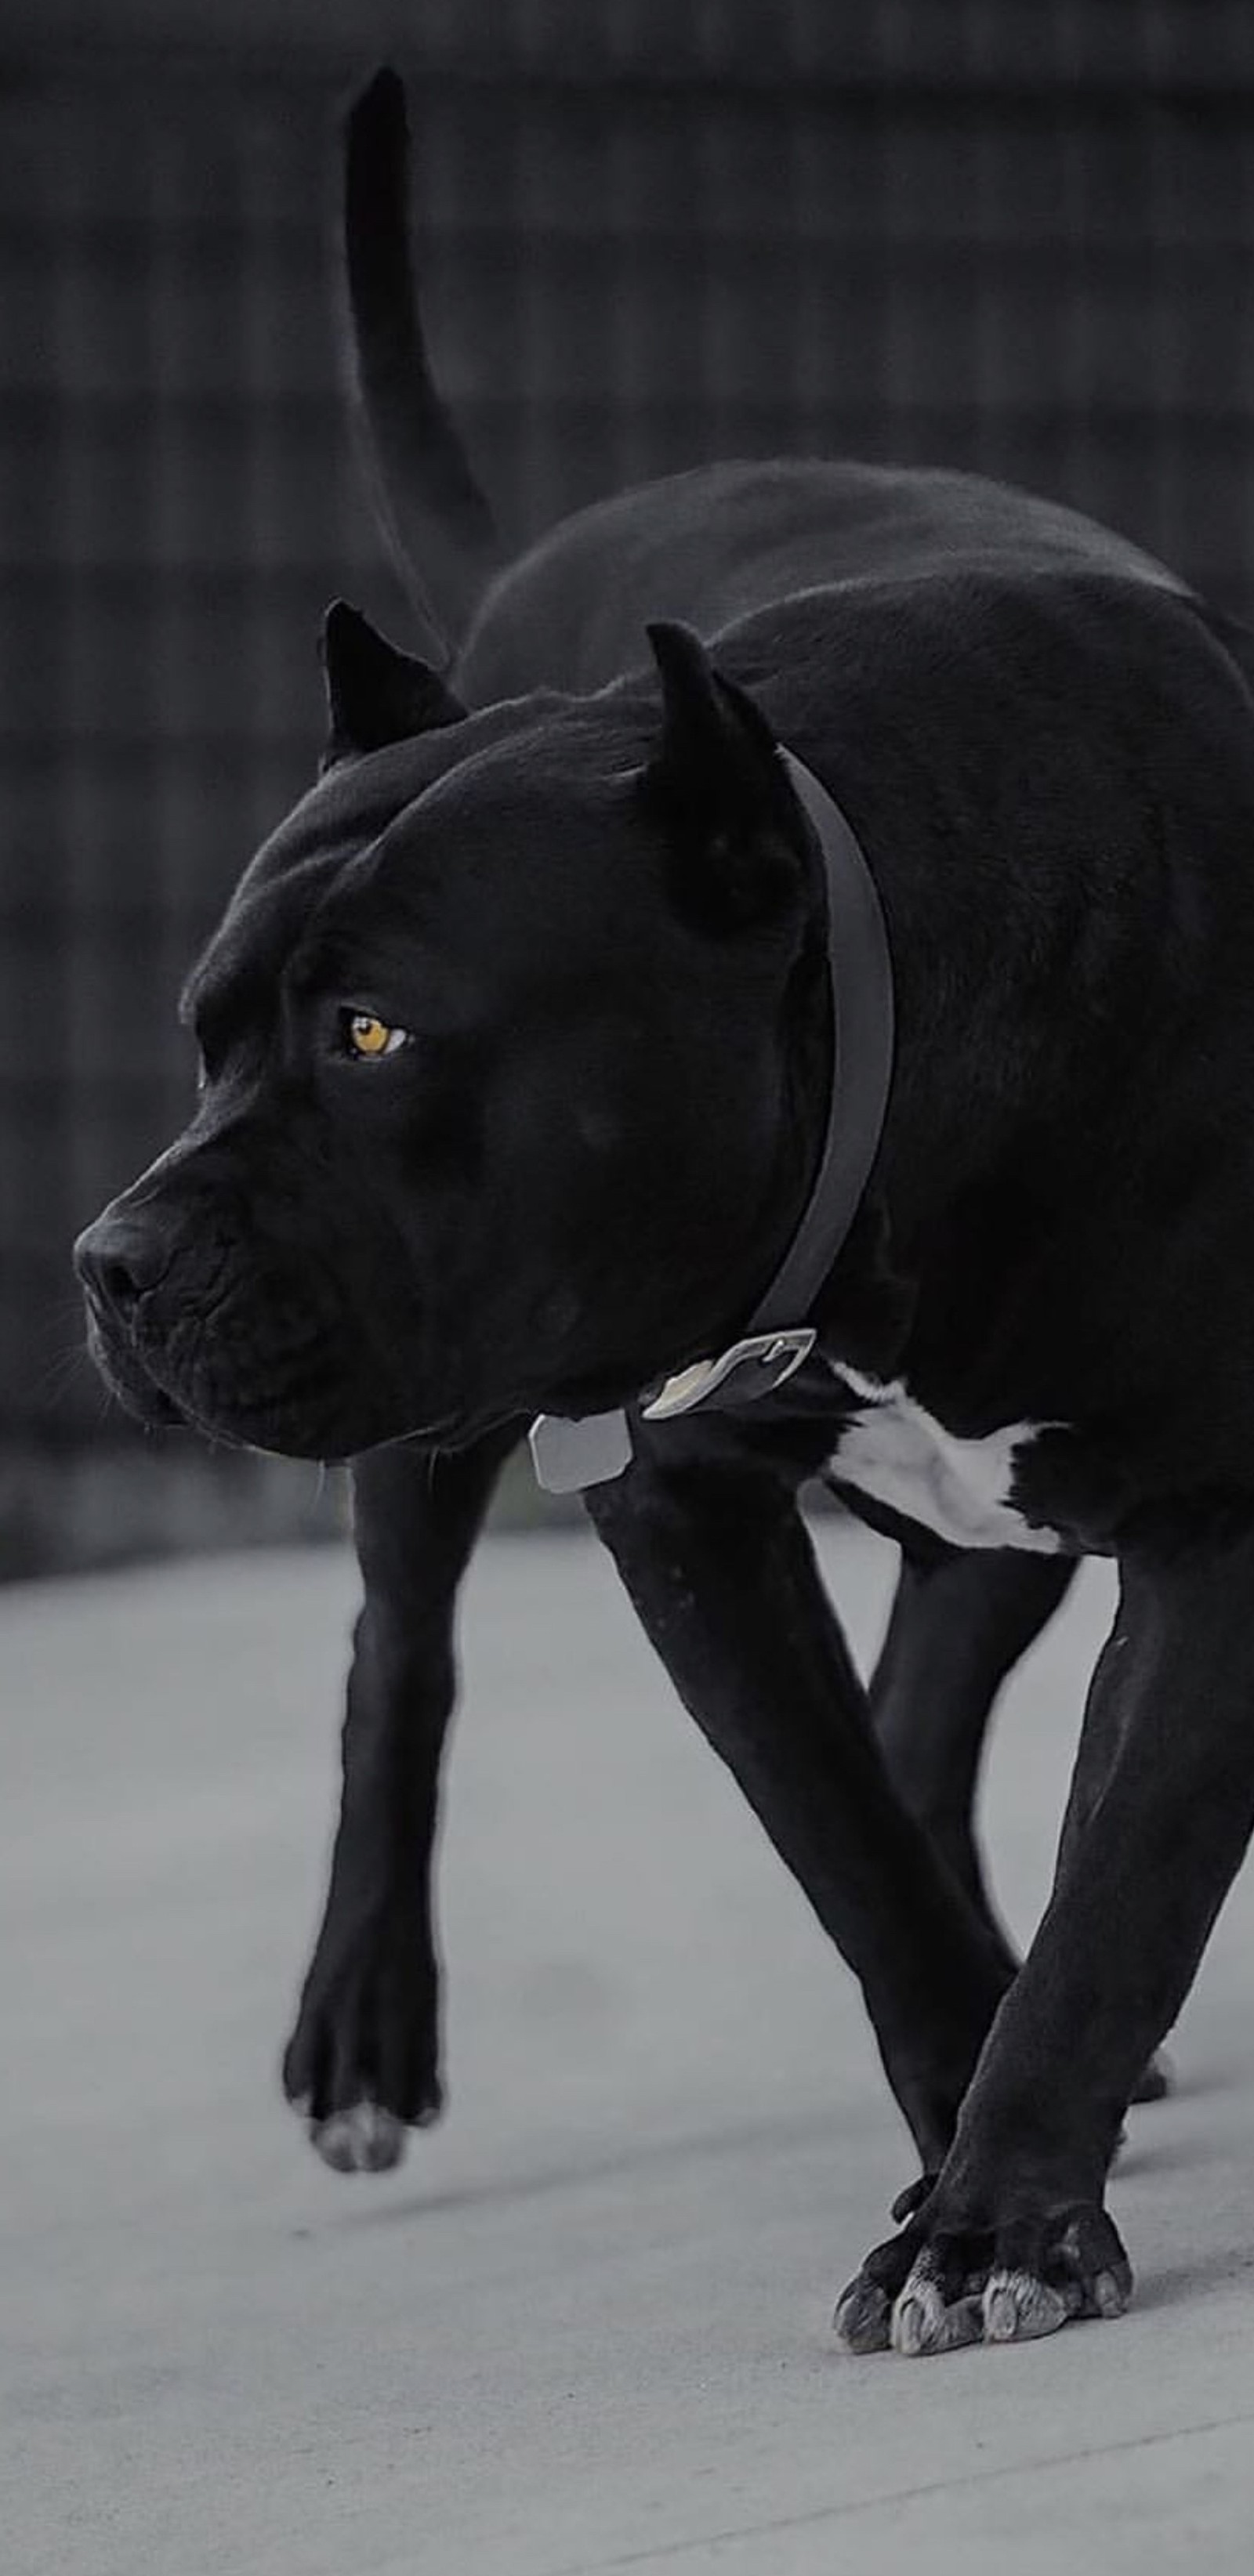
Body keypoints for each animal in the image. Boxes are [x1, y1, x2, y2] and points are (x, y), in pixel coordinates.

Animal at [75, 65, 1254, 2359]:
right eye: (203, 1038)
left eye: (370, 1033)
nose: (110, 1264)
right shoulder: (675, 1504)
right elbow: (845, 1851)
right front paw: (968, 2142)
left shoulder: (1220, 1519)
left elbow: (1119, 1872)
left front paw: (994, 2194)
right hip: (439, 1454)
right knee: (399, 1660)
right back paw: (366, 2031)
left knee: (922, 1708)